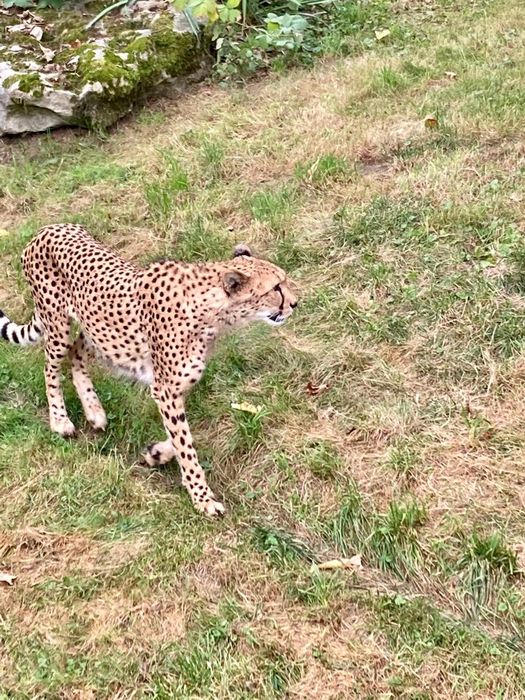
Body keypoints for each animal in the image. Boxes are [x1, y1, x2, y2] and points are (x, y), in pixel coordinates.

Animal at [0, 223, 296, 516]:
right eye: (276, 288)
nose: (295, 303)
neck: (212, 312)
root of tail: (47, 229)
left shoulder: (175, 386)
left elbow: (178, 436)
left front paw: (158, 453)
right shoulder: (166, 388)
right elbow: (185, 445)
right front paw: (202, 498)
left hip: (98, 329)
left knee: (77, 352)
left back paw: (94, 410)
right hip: (58, 325)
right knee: (50, 367)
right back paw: (60, 420)